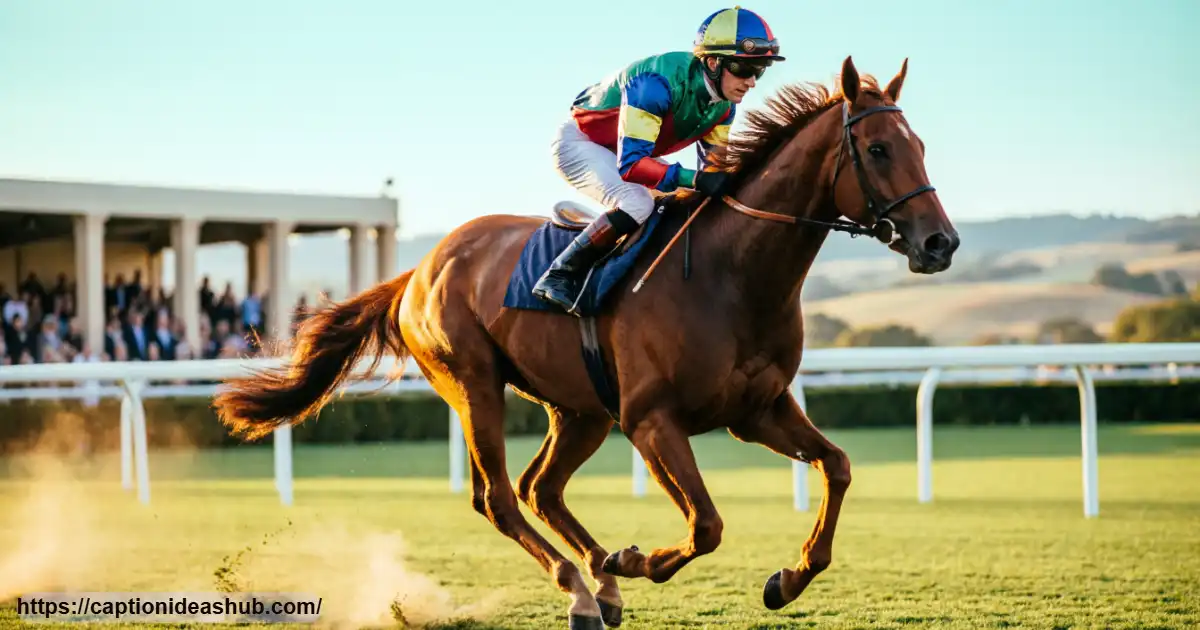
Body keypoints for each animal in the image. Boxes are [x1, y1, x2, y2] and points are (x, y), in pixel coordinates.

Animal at [213, 55, 959, 629]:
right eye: (879, 149)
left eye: (922, 146)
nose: (940, 243)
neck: (733, 277)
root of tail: (419, 270)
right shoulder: (651, 420)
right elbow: (706, 524)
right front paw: (636, 559)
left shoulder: (757, 411)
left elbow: (837, 467)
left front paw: (788, 577)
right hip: (476, 385)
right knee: (500, 498)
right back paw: (582, 586)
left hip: (579, 408)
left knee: (540, 488)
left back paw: (599, 583)